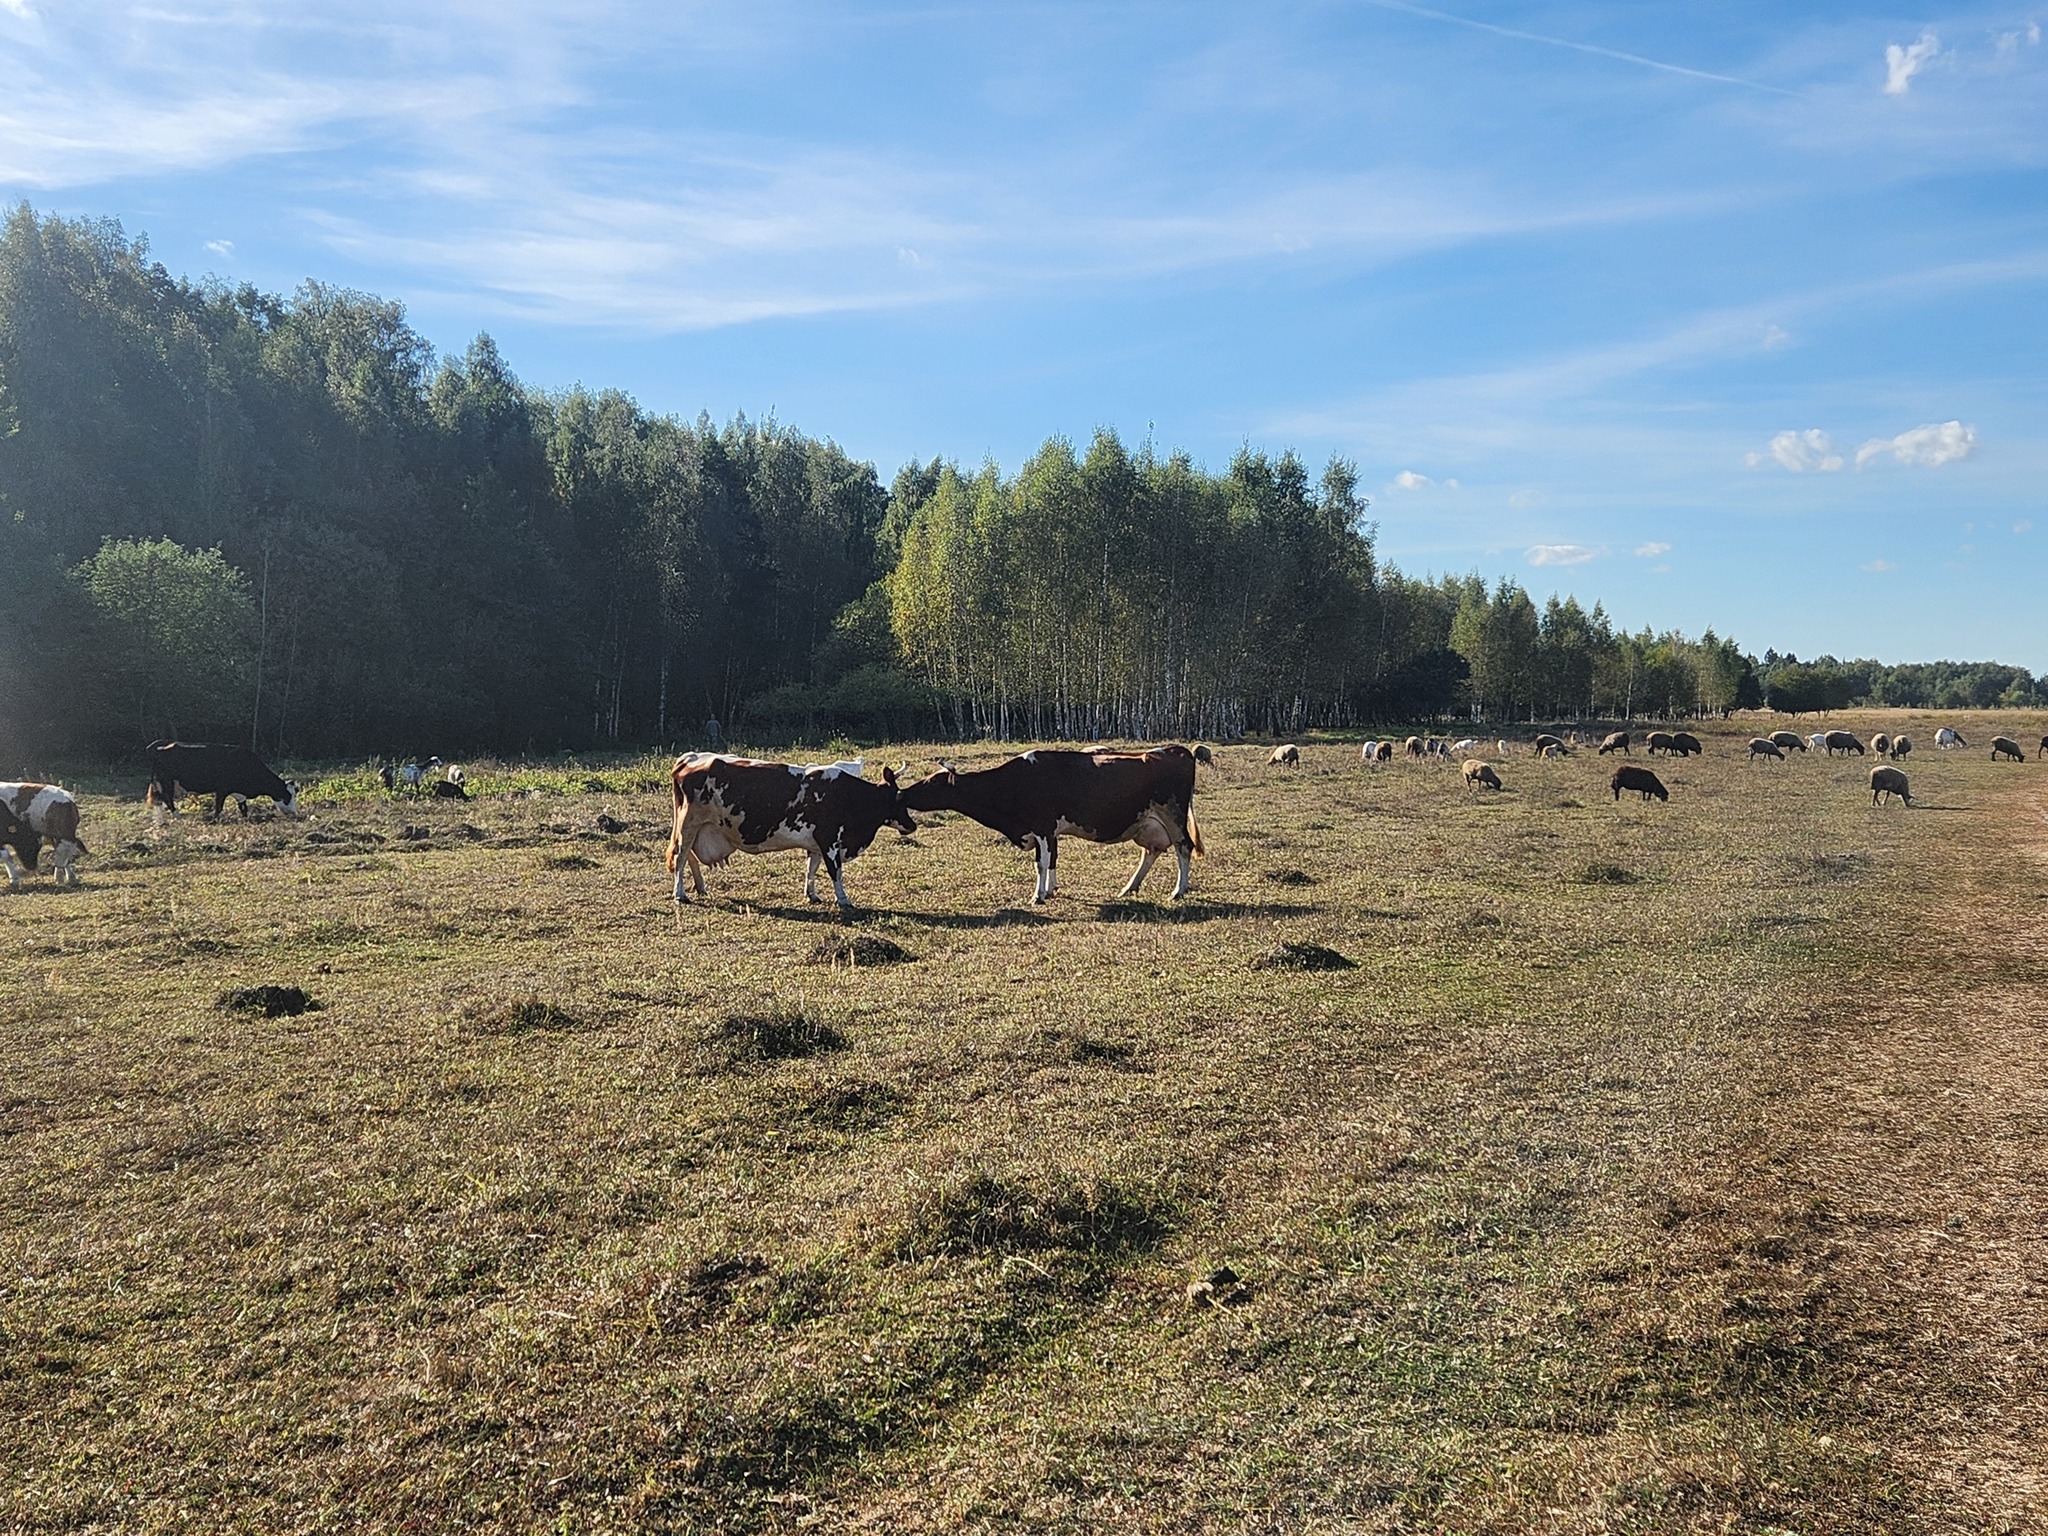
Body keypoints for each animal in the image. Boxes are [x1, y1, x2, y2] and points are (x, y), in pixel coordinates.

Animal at [142, 741, 296, 819]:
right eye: (288, 796)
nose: (294, 813)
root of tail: (155, 746)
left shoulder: (239, 793)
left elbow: (243, 807)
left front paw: (245, 818)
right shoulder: (222, 789)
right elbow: (219, 806)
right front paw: (214, 820)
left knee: (160, 799)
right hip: (166, 782)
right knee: (167, 799)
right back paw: (177, 816)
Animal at [663, 757, 913, 913]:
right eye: (899, 799)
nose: (912, 825)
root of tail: (689, 759)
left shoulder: (816, 843)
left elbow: (812, 867)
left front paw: (811, 894)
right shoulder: (829, 840)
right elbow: (835, 871)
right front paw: (843, 899)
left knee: (688, 858)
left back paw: (699, 888)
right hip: (688, 825)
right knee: (680, 858)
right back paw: (680, 894)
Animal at [897, 741, 1196, 901]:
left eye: (930, 782)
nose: (902, 793)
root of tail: (1175, 749)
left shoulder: (1041, 827)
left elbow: (1041, 863)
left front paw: (1037, 895)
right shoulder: (1049, 831)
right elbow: (1051, 859)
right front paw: (1051, 890)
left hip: (1173, 816)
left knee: (1183, 848)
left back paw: (1177, 891)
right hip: (1149, 823)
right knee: (1152, 851)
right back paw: (1129, 887)